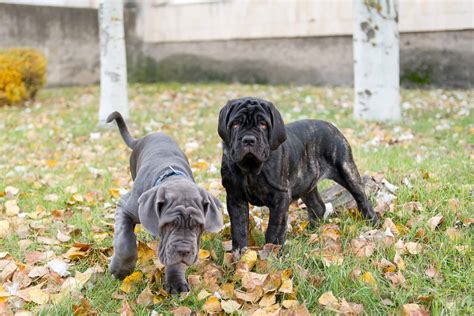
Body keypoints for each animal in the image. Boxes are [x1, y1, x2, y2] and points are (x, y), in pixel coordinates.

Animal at [106, 111, 223, 294]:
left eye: (198, 226)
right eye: (169, 224)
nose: (184, 250)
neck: (172, 176)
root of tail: (142, 139)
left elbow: (175, 261)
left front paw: (175, 281)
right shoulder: (125, 207)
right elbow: (125, 241)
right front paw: (120, 271)